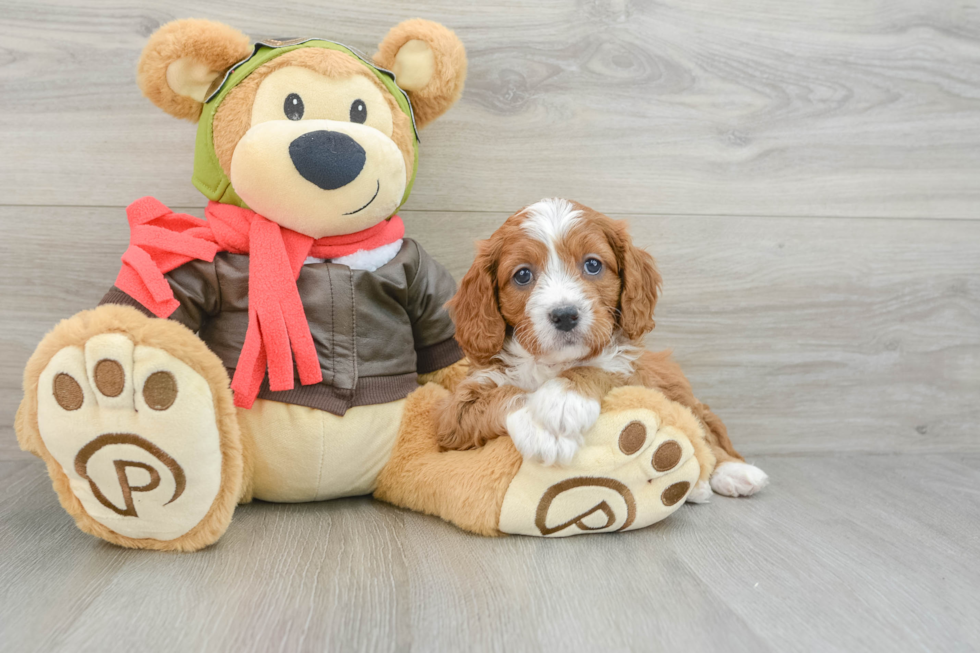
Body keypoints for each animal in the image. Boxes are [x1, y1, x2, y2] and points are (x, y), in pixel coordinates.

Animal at [436, 197, 764, 500]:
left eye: (593, 264)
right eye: (522, 275)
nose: (565, 315)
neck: (553, 364)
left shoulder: (630, 372)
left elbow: (597, 368)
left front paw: (564, 399)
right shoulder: (453, 416)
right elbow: (502, 397)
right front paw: (543, 429)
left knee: (705, 427)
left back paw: (733, 471)